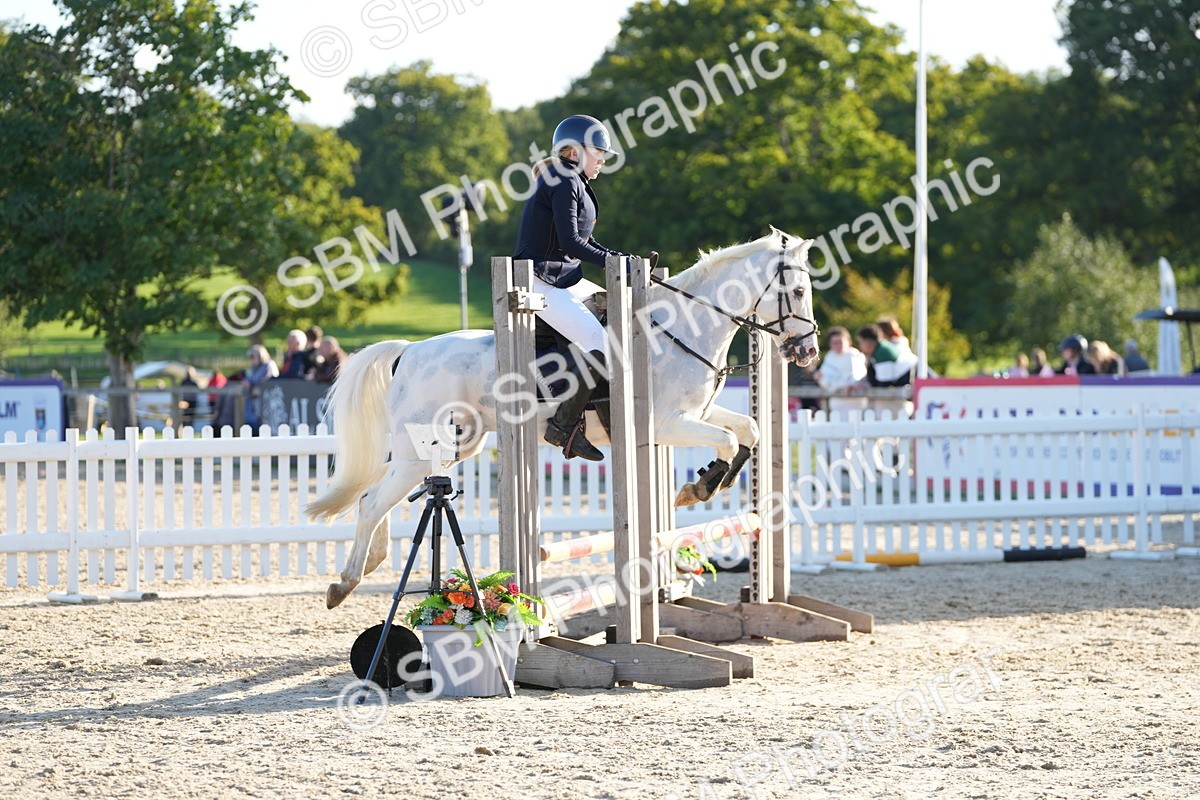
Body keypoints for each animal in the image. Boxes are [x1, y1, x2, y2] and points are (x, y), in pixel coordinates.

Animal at [307, 228, 821, 609]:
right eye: (797, 291)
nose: (808, 352)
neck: (679, 330)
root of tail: (408, 352)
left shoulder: (697, 414)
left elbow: (749, 430)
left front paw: (710, 482)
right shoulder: (662, 425)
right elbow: (728, 442)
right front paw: (700, 487)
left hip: (451, 446)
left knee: (375, 497)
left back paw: (369, 563)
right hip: (422, 450)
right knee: (373, 501)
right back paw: (344, 583)